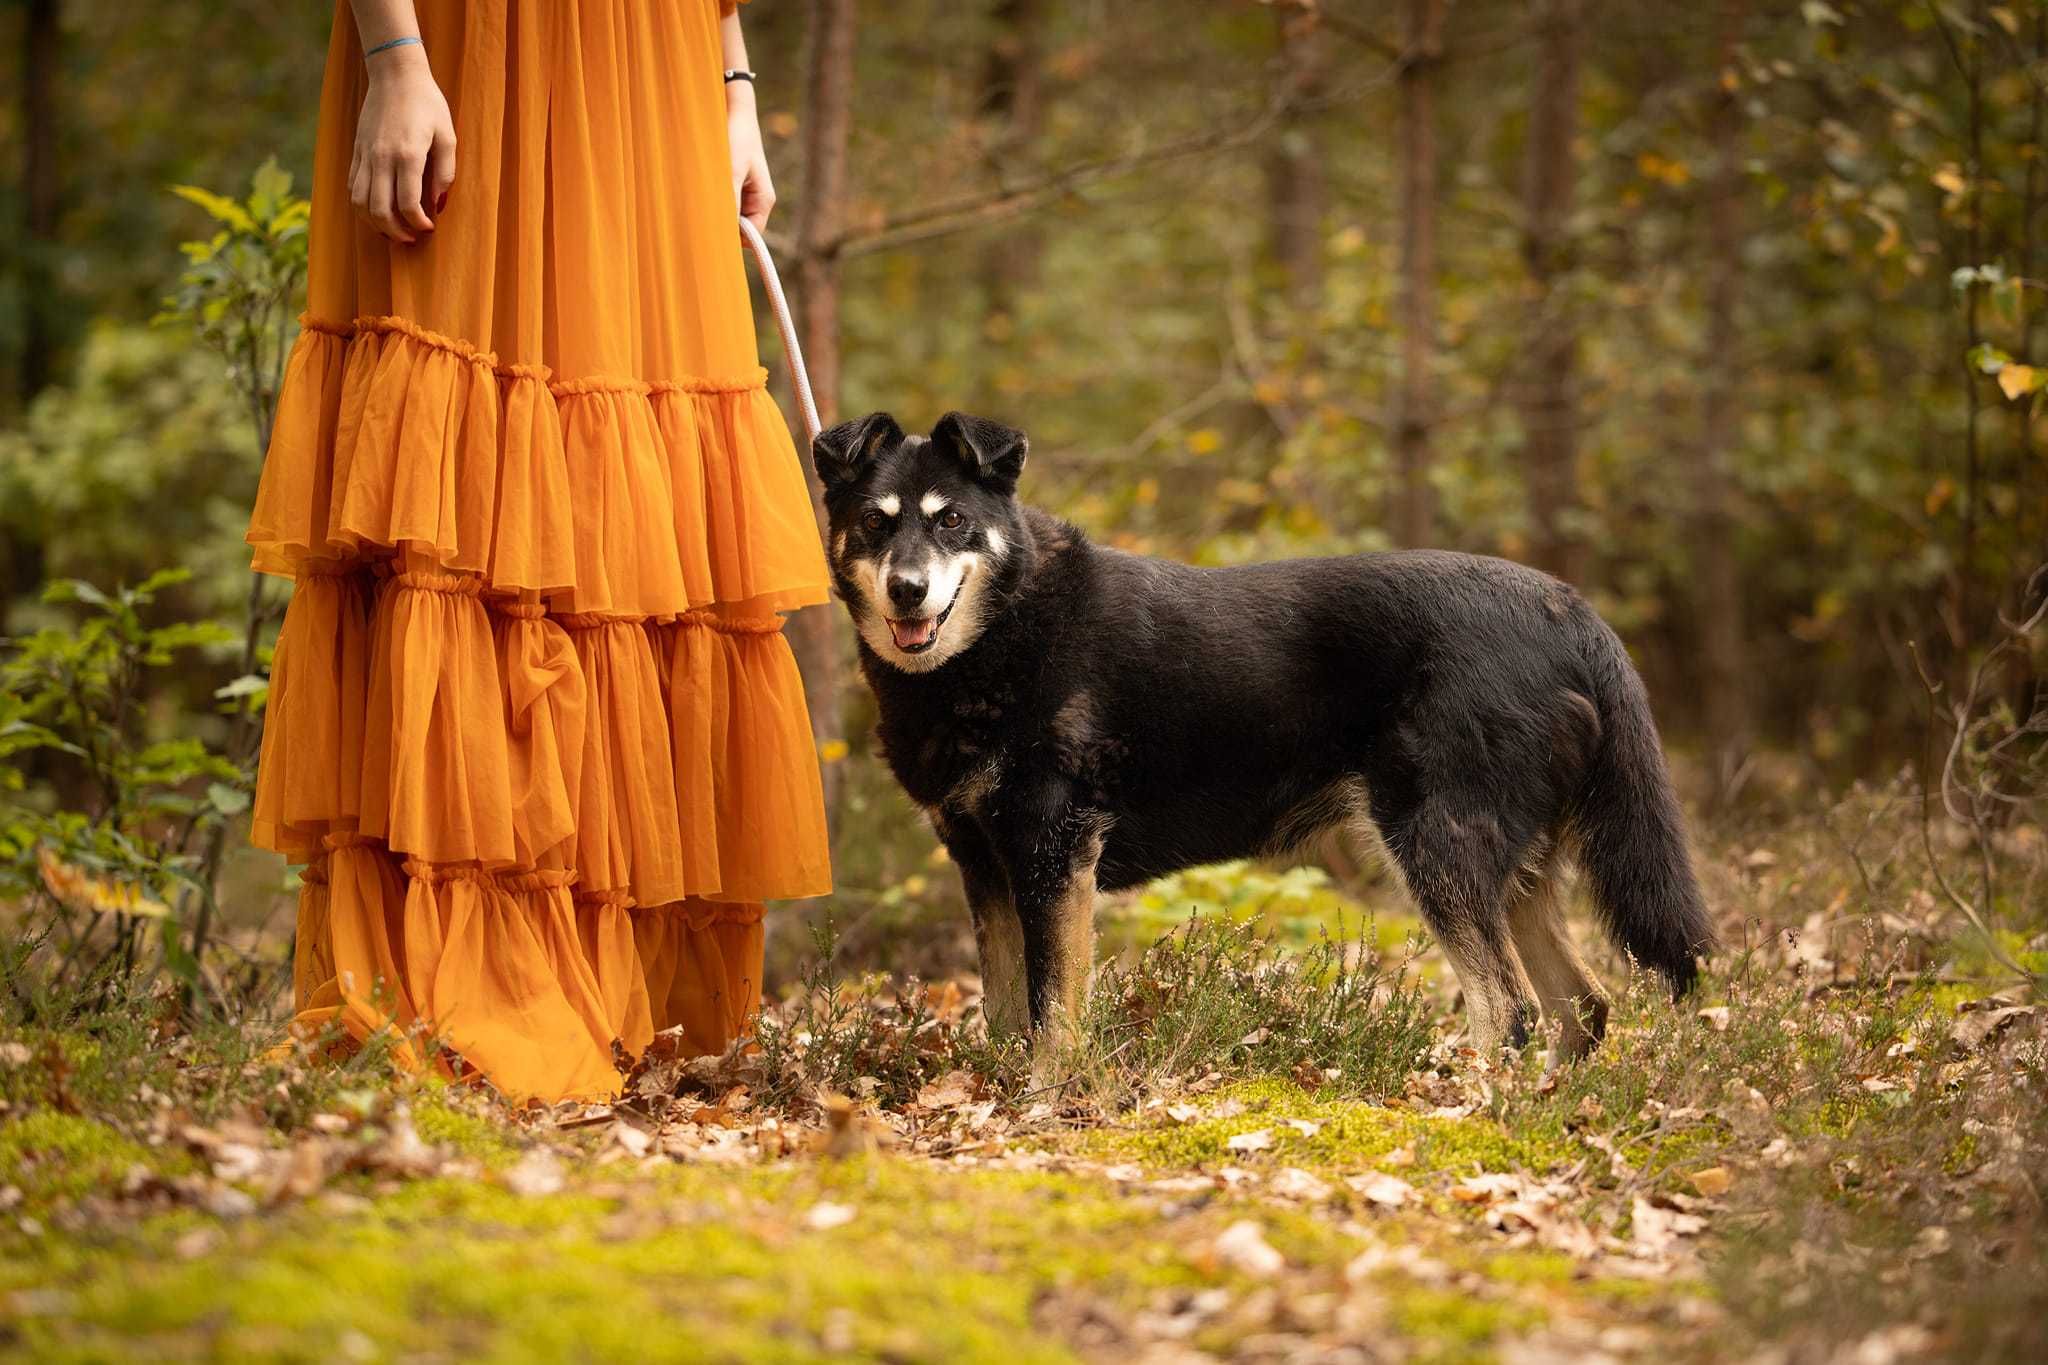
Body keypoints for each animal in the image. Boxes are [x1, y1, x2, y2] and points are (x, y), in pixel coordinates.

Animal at [811, 413, 1712, 1055]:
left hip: (1439, 845)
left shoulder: (1052, 849)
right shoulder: (985, 864)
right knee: (1581, 1007)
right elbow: (1005, 1015)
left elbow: (1053, 1014)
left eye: (953, 520)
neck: (1004, 632)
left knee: (1510, 1012)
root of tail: (1570, 609)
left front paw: (1045, 1103)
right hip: (1512, 867)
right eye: (876, 523)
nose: (907, 590)